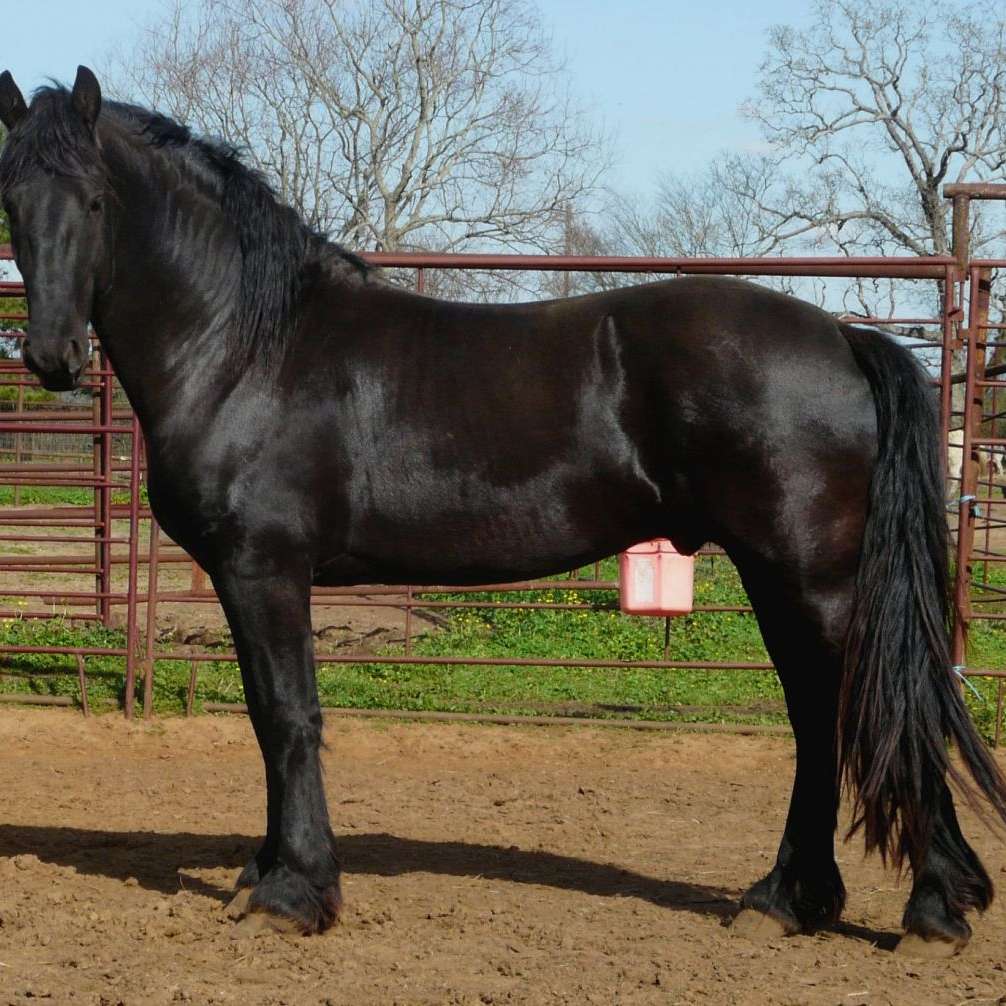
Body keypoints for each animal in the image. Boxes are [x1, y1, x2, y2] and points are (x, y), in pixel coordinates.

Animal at [1, 66, 1006, 953]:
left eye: (94, 202)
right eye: (12, 201)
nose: (51, 357)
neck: (250, 349)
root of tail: (841, 335)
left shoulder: (264, 569)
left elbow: (285, 716)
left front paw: (295, 893)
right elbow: (267, 716)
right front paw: (271, 870)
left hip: (812, 578)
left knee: (873, 708)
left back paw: (928, 909)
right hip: (777, 576)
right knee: (817, 716)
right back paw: (792, 900)